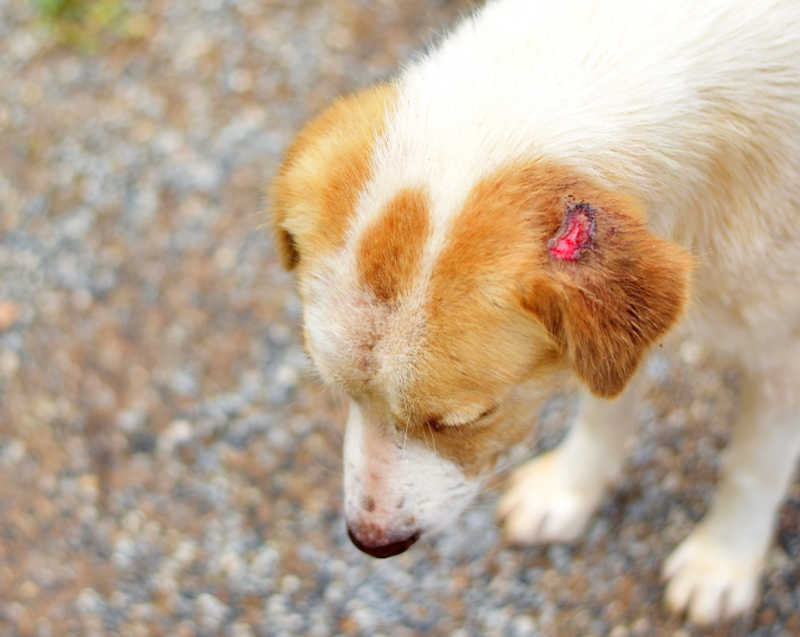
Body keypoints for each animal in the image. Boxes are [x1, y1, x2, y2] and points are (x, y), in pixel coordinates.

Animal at [272, 0, 800, 624]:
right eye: (338, 391)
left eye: (466, 420)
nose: (371, 542)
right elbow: (607, 411)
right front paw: (569, 492)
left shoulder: (784, 355)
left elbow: (753, 467)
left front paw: (722, 563)